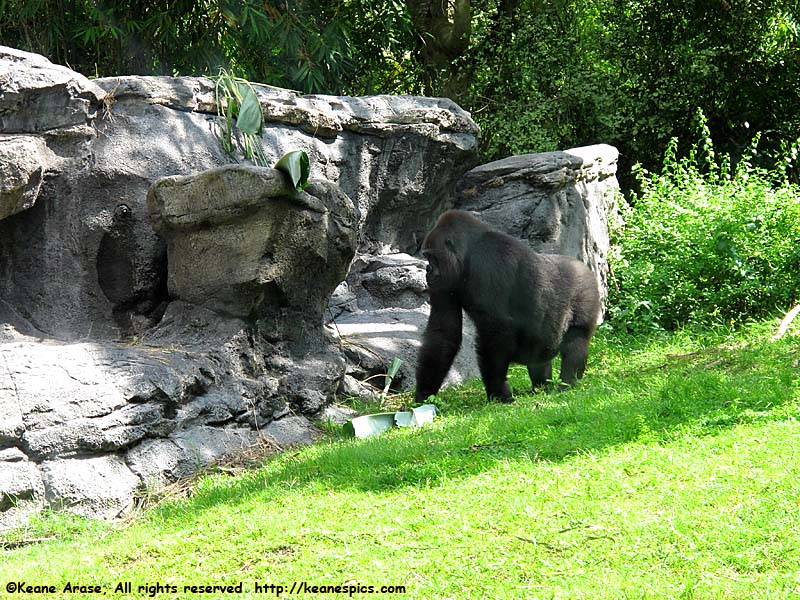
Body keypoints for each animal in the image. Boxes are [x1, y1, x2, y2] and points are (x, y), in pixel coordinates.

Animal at [418, 211, 600, 404]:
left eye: (431, 257)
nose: (428, 270)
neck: (468, 253)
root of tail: (583, 266)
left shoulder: (490, 260)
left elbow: (496, 330)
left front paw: (498, 391)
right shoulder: (445, 282)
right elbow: (444, 332)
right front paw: (424, 394)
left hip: (586, 290)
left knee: (576, 340)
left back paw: (567, 384)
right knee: (539, 356)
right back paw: (543, 386)